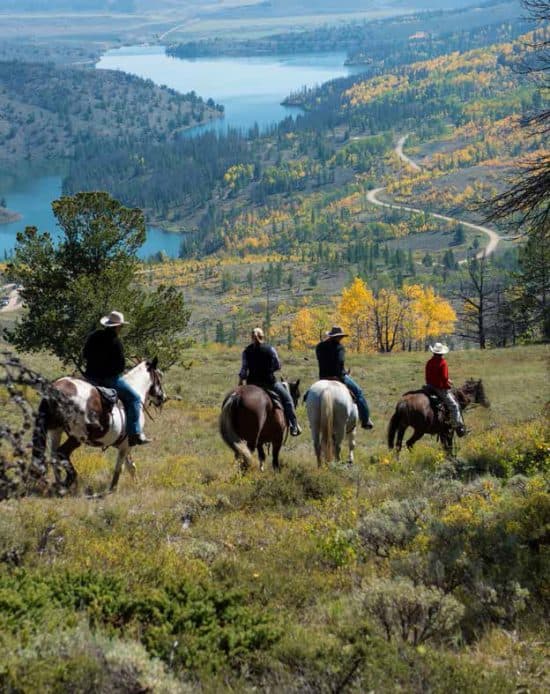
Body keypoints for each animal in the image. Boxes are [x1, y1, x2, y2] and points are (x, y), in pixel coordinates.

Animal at [31, 362, 166, 492]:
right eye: (159, 378)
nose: (163, 397)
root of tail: (55, 388)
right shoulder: (127, 445)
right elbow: (120, 467)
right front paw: (112, 489)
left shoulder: (125, 444)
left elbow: (130, 466)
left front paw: (137, 485)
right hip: (77, 437)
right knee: (61, 453)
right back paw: (69, 480)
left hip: (56, 431)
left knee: (54, 456)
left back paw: (59, 485)